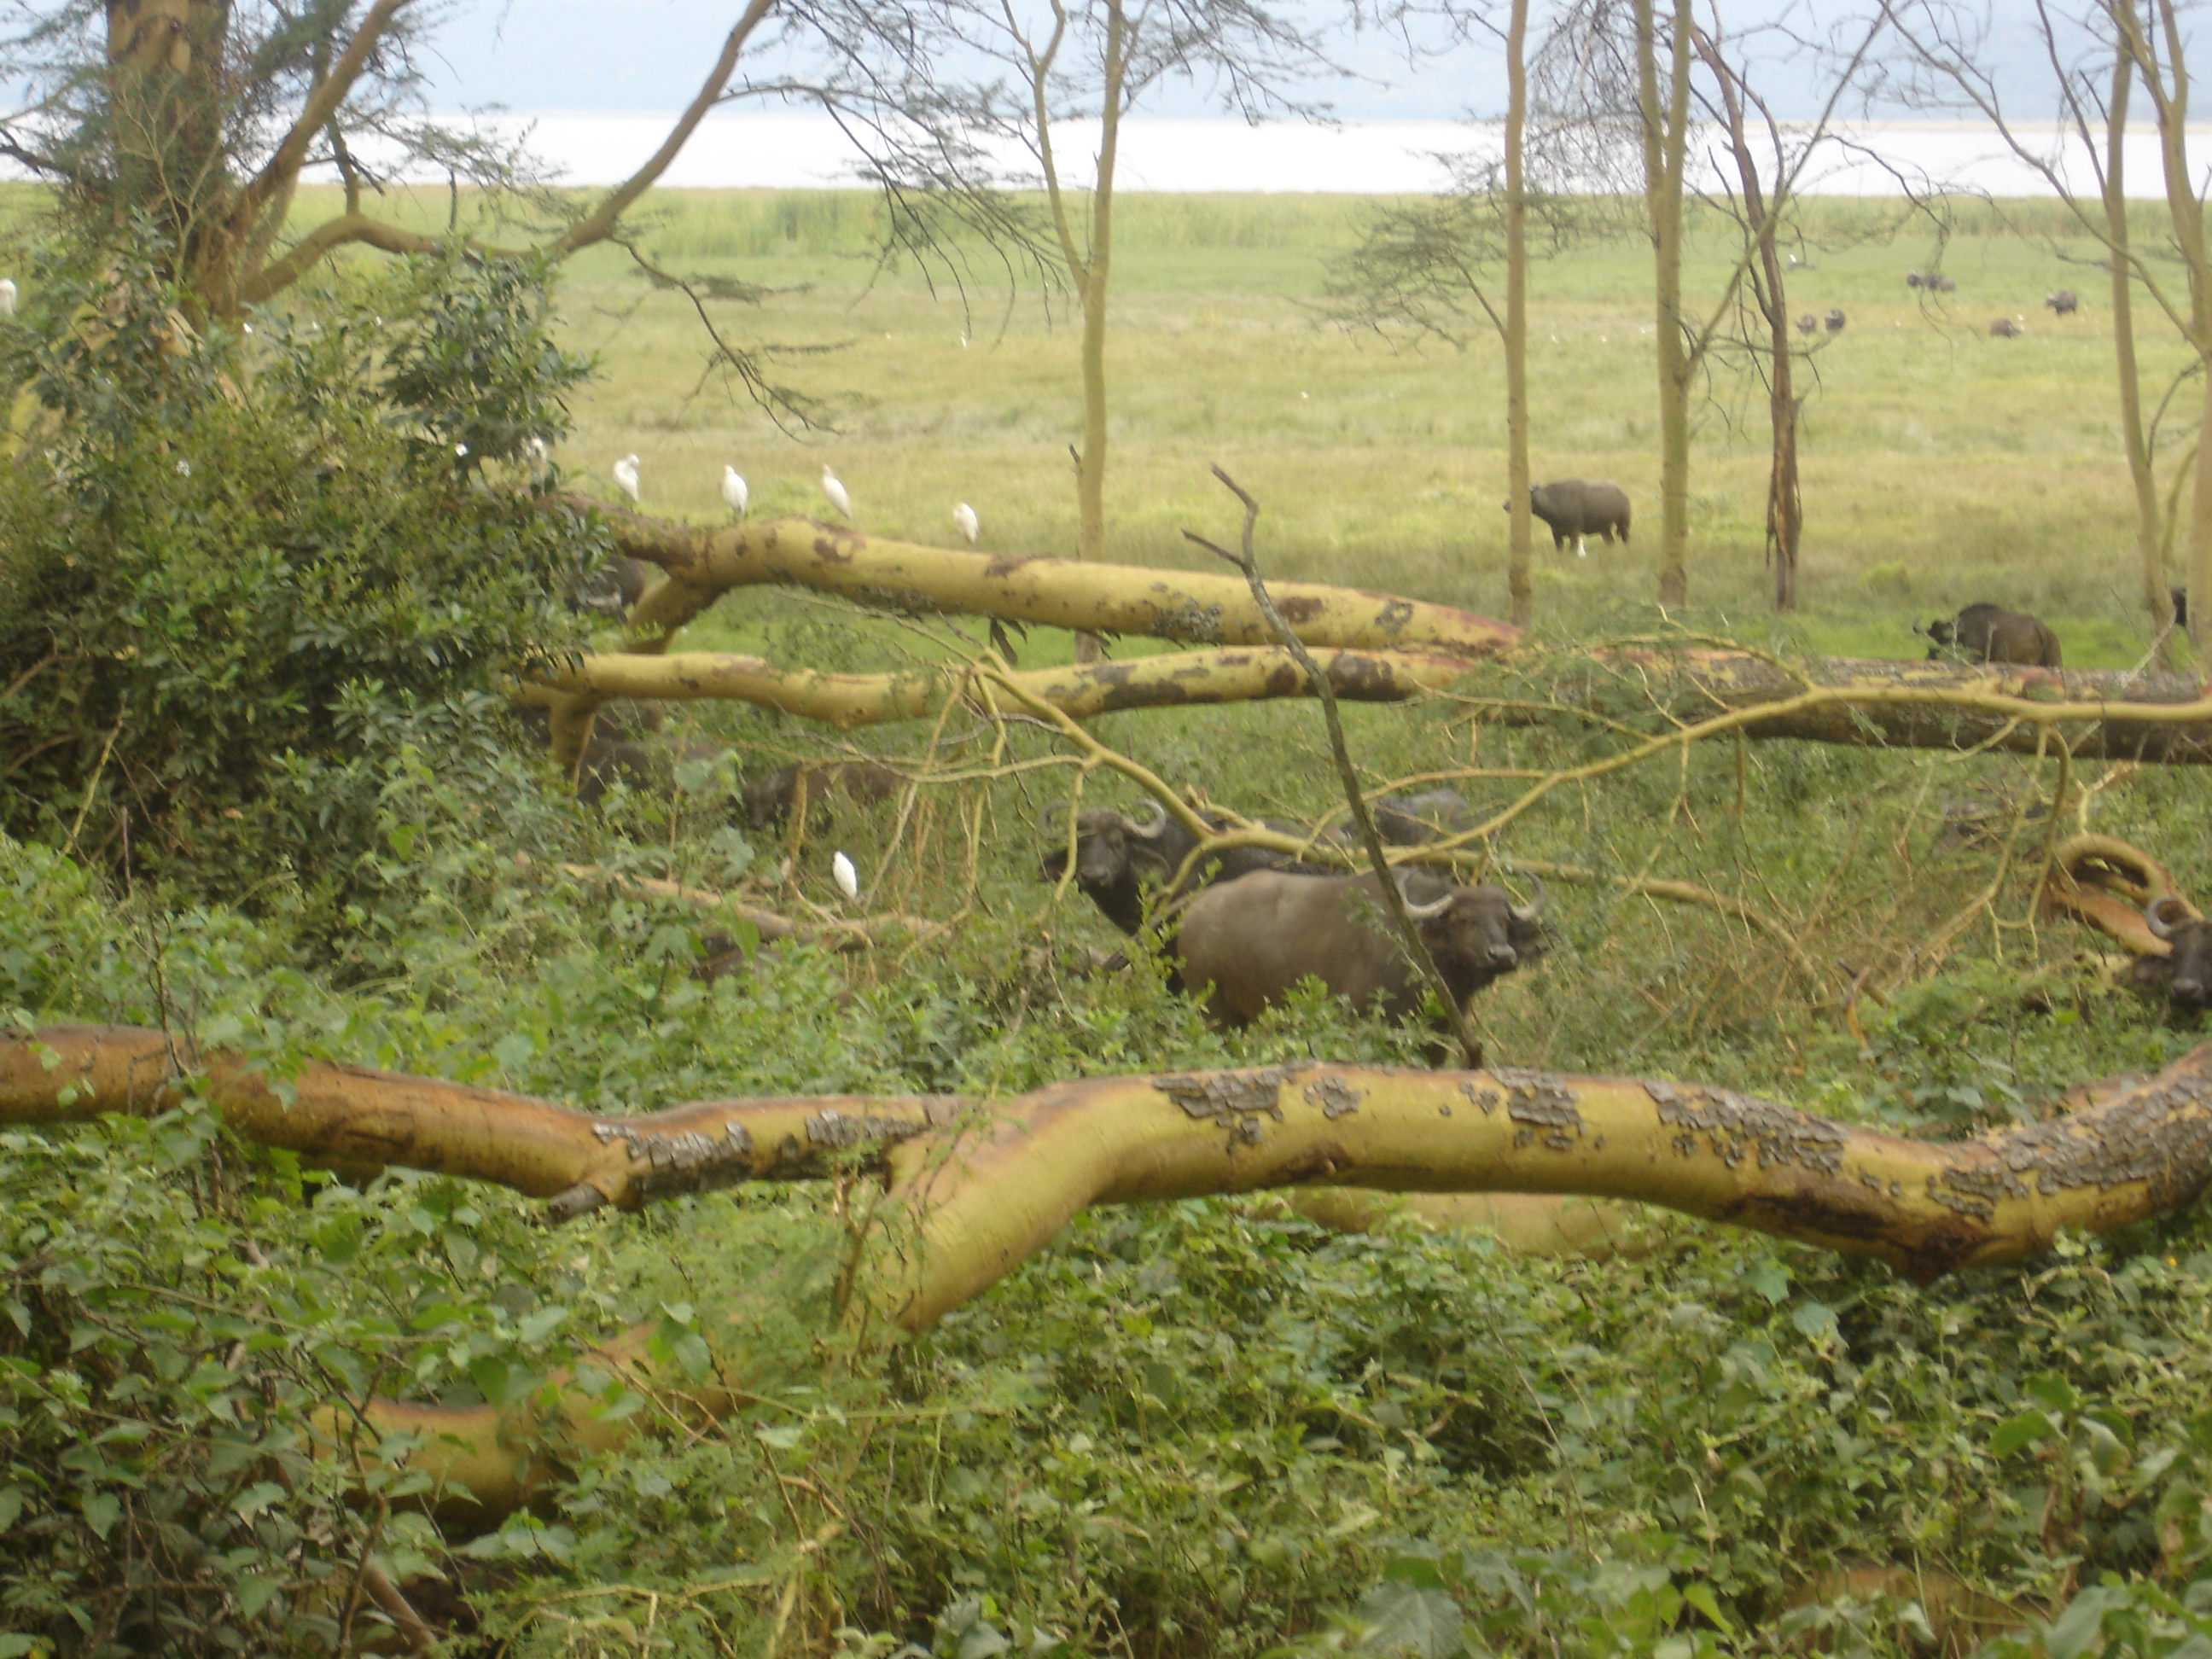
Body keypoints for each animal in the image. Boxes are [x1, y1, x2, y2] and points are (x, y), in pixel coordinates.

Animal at [1510, 479, 1632, 557]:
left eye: (1521, 496)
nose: (1507, 505)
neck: (1556, 502)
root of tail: (1623, 495)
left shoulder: (1574, 532)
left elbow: (1572, 549)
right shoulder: (1556, 534)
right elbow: (1560, 549)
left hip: (1623, 523)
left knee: (1625, 539)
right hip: (1604, 529)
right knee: (1610, 541)